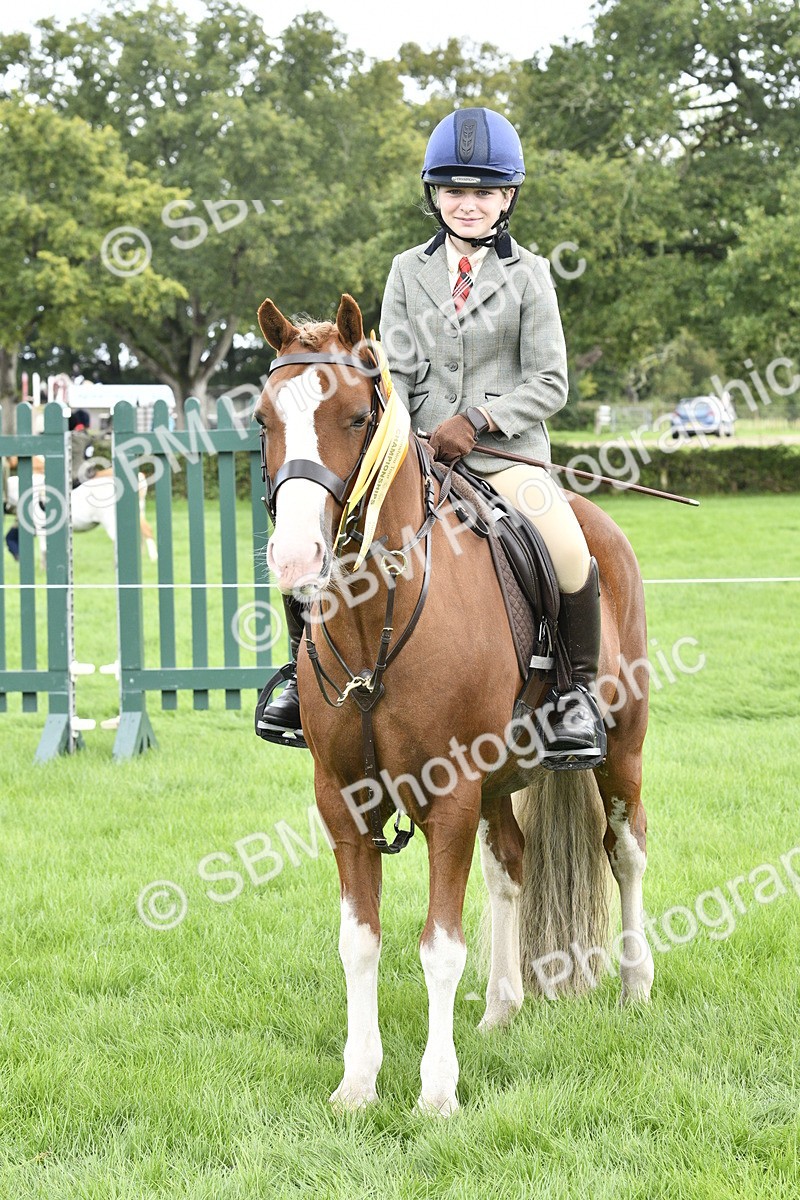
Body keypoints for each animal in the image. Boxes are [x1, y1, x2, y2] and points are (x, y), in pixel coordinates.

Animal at [255, 293, 653, 1116]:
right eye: (262, 418)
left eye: (354, 416)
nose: (295, 559)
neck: (375, 620)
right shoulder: (343, 799)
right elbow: (359, 941)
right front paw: (358, 1082)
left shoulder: (450, 794)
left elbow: (439, 945)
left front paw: (436, 1091)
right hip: (500, 782)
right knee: (511, 867)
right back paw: (502, 1006)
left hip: (622, 749)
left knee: (625, 849)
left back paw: (636, 985)